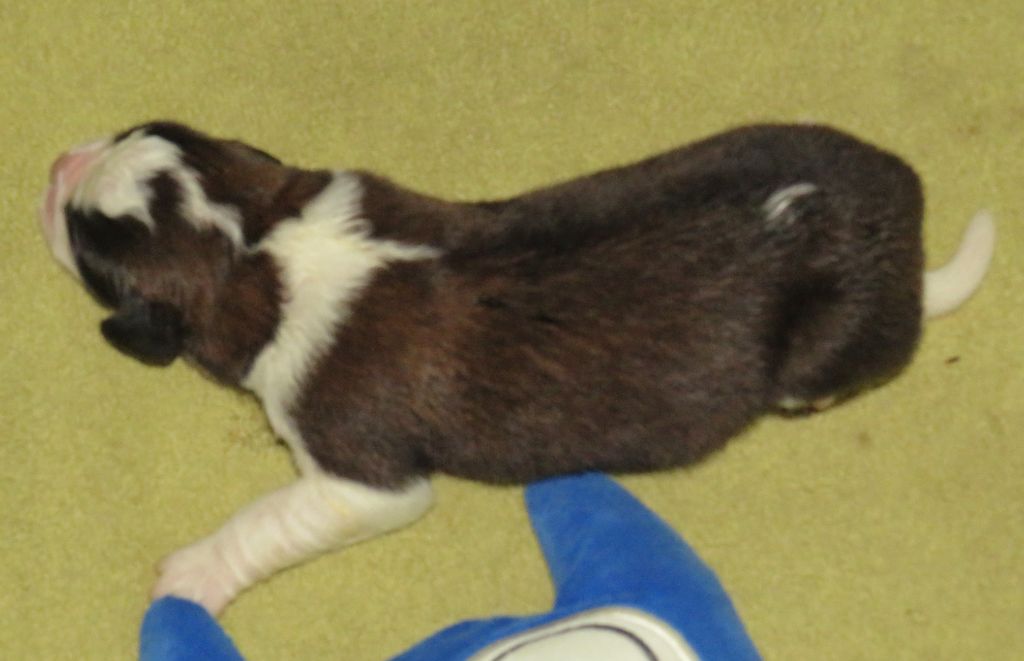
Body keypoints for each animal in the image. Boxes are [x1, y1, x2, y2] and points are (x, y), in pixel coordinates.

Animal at [39, 122, 994, 614]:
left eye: (87, 244)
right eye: (129, 131)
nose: (56, 163)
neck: (256, 241)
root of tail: (907, 238)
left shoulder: (362, 478)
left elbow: (268, 518)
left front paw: (190, 576)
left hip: (819, 355)